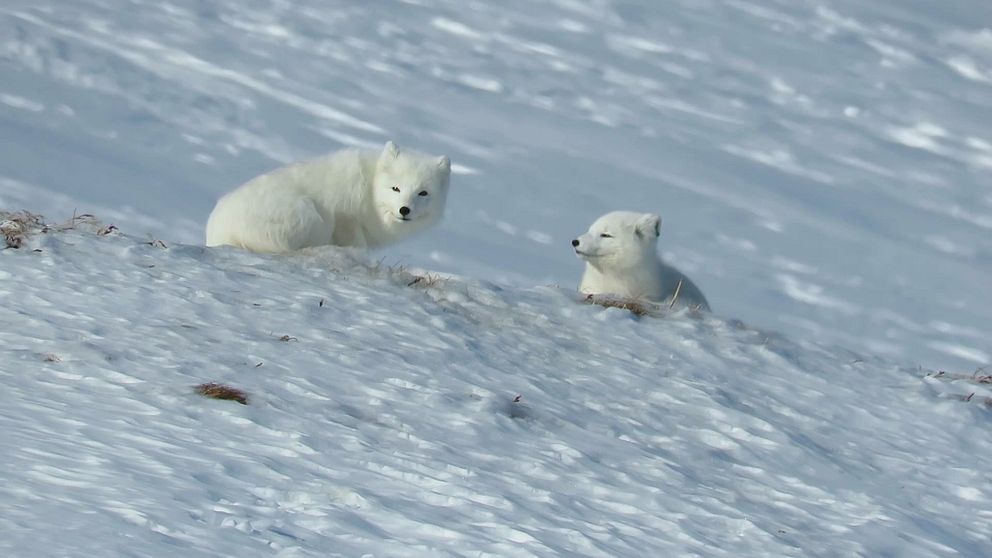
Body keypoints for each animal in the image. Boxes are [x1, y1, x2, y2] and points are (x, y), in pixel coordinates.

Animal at [206, 141, 454, 253]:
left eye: (423, 193)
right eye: (396, 189)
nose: (405, 210)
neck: (370, 191)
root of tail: (217, 234)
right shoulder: (346, 218)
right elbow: (356, 244)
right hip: (311, 215)